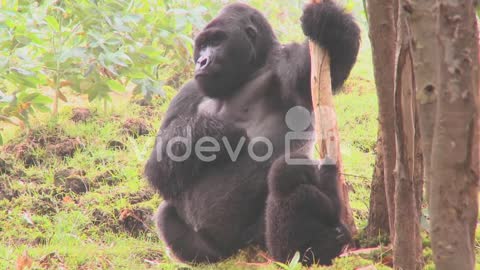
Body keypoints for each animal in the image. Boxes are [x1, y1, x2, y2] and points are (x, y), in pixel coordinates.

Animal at [145, 0, 360, 266]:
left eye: (217, 40)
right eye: (202, 44)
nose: (201, 61)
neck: (251, 69)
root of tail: (237, 250)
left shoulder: (286, 62)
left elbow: (330, 69)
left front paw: (328, 22)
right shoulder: (188, 90)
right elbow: (159, 165)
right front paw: (209, 132)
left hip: (258, 239)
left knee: (286, 177)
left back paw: (313, 247)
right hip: (218, 249)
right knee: (166, 213)